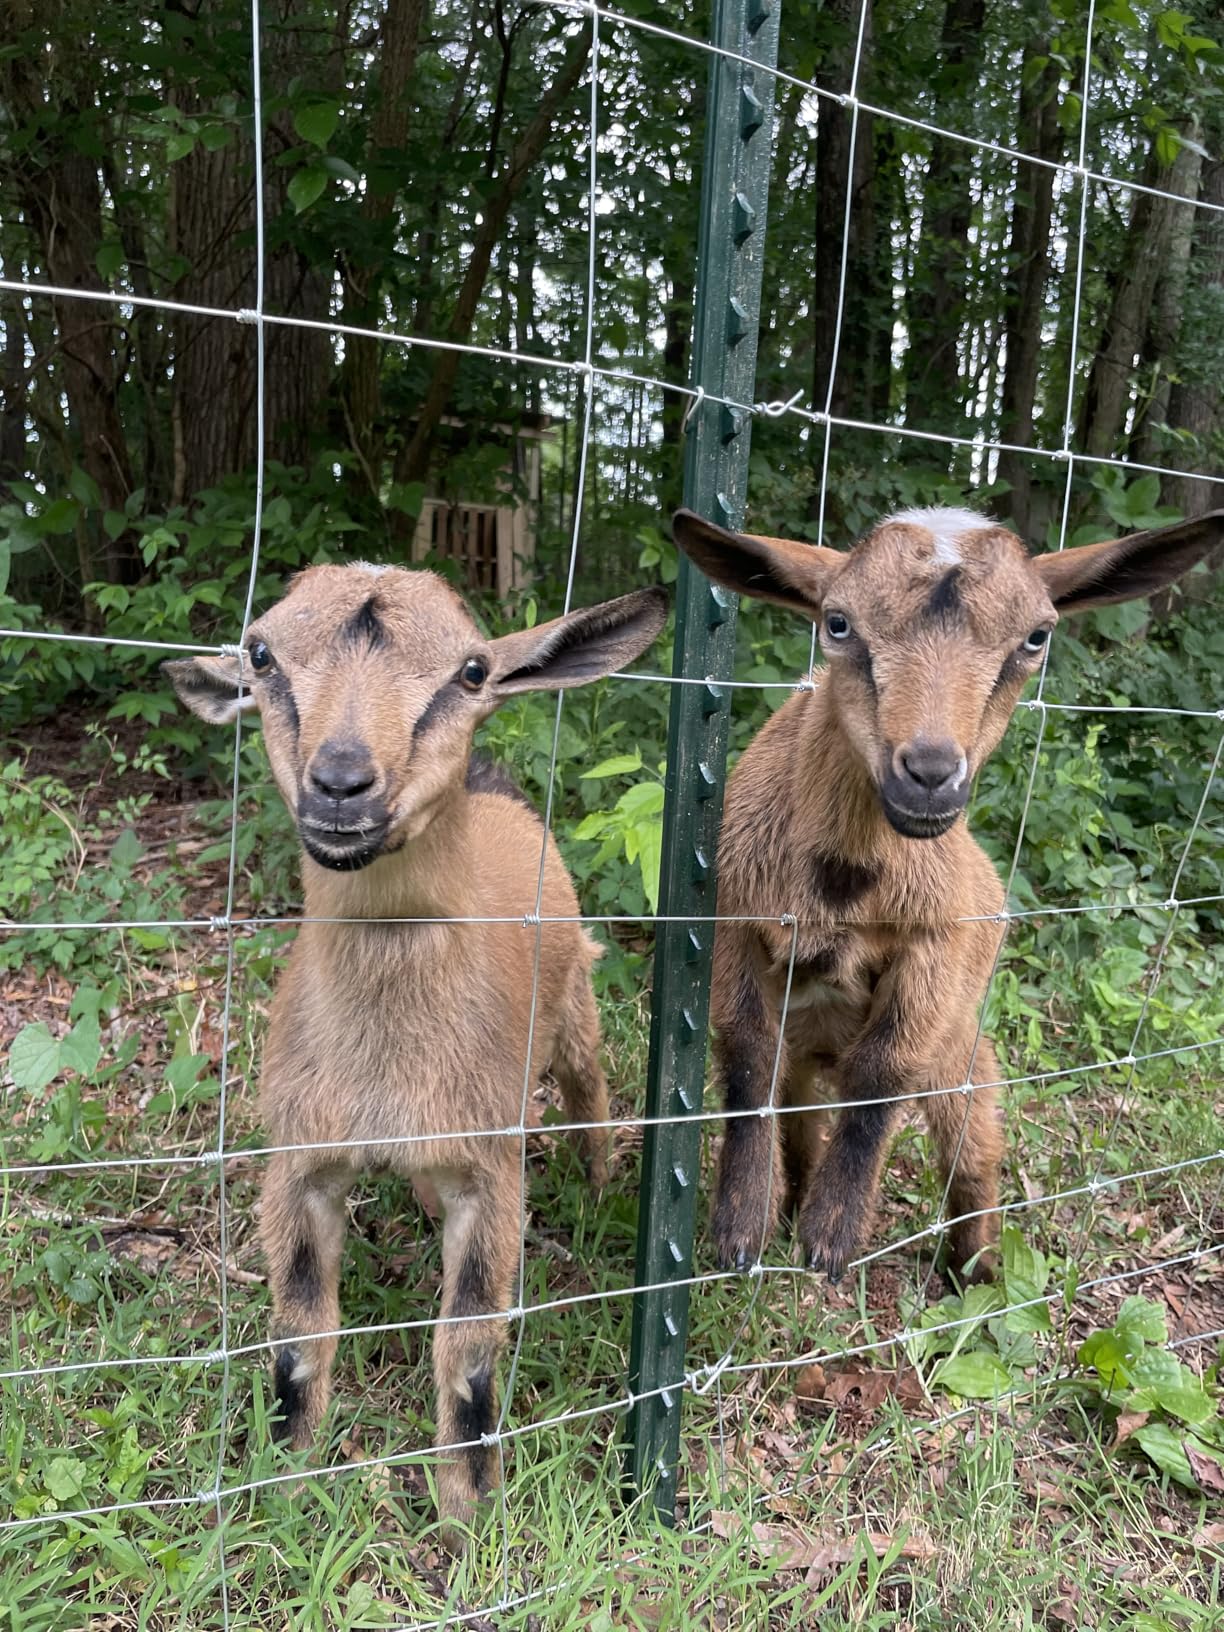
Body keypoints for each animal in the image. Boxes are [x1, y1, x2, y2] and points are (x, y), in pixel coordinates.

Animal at [165, 563, 666, 1540]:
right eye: (260, 653)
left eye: (472, 670)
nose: (341, 782)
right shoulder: (300, 1158)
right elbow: (300, 1333)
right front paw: (287, 1486)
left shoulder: (491, 1171)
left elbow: (466, 1346)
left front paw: (468, 1513)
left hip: (574, 1008)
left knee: (590, 1091)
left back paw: (596, 1189)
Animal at [672, 505, 1222, 1284]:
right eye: (837, 623)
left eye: (1036, 637)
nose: (930, 774)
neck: (844, 888)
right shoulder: (733, 921)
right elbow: (748, 1059)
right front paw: (743, 1228)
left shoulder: (938, 948)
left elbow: (882, 1072)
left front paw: (832, 1233)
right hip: (819, 1054)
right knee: (803, 1119)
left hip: (964, 1048)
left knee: (974, 1149)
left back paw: (980, 1269)